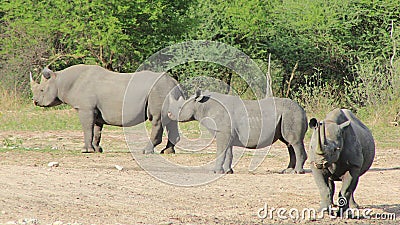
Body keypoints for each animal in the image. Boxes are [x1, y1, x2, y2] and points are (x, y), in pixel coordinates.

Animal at [30, 64, 180, 154]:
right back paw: (167, 152)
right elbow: (97, 130)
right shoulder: (95, 111)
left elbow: (87, 128)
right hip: (167, 91)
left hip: (158, 90)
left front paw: (86, 150)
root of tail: (174, 82)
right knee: (171, 120)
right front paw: (97, 149)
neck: (60, 81)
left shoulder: (85, 108)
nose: (35, 102)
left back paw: (146, 151)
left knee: (156, 119)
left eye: (42, 90)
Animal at [167, 89, 308, 174]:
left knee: (294, 142)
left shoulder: (222, 132)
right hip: (288, 115)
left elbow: (221, 151)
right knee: (288, 143)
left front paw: (216, 172)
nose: (168, 114)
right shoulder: (227, 133)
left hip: (291, 114)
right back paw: (287, 171)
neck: (202, 105)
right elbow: (229, 153)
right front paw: (228, 171)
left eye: (180, 108)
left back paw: (297, 172)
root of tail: (303, 110)